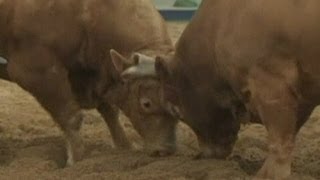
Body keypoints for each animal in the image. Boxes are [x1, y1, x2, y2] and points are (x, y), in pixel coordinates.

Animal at [0, 0, 178, 166]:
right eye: (146, 103)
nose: (166, 150)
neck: (87, 14)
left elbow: (110, 112)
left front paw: (125, 146)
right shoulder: (37, 72)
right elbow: (71, 117)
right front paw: (77, 159)